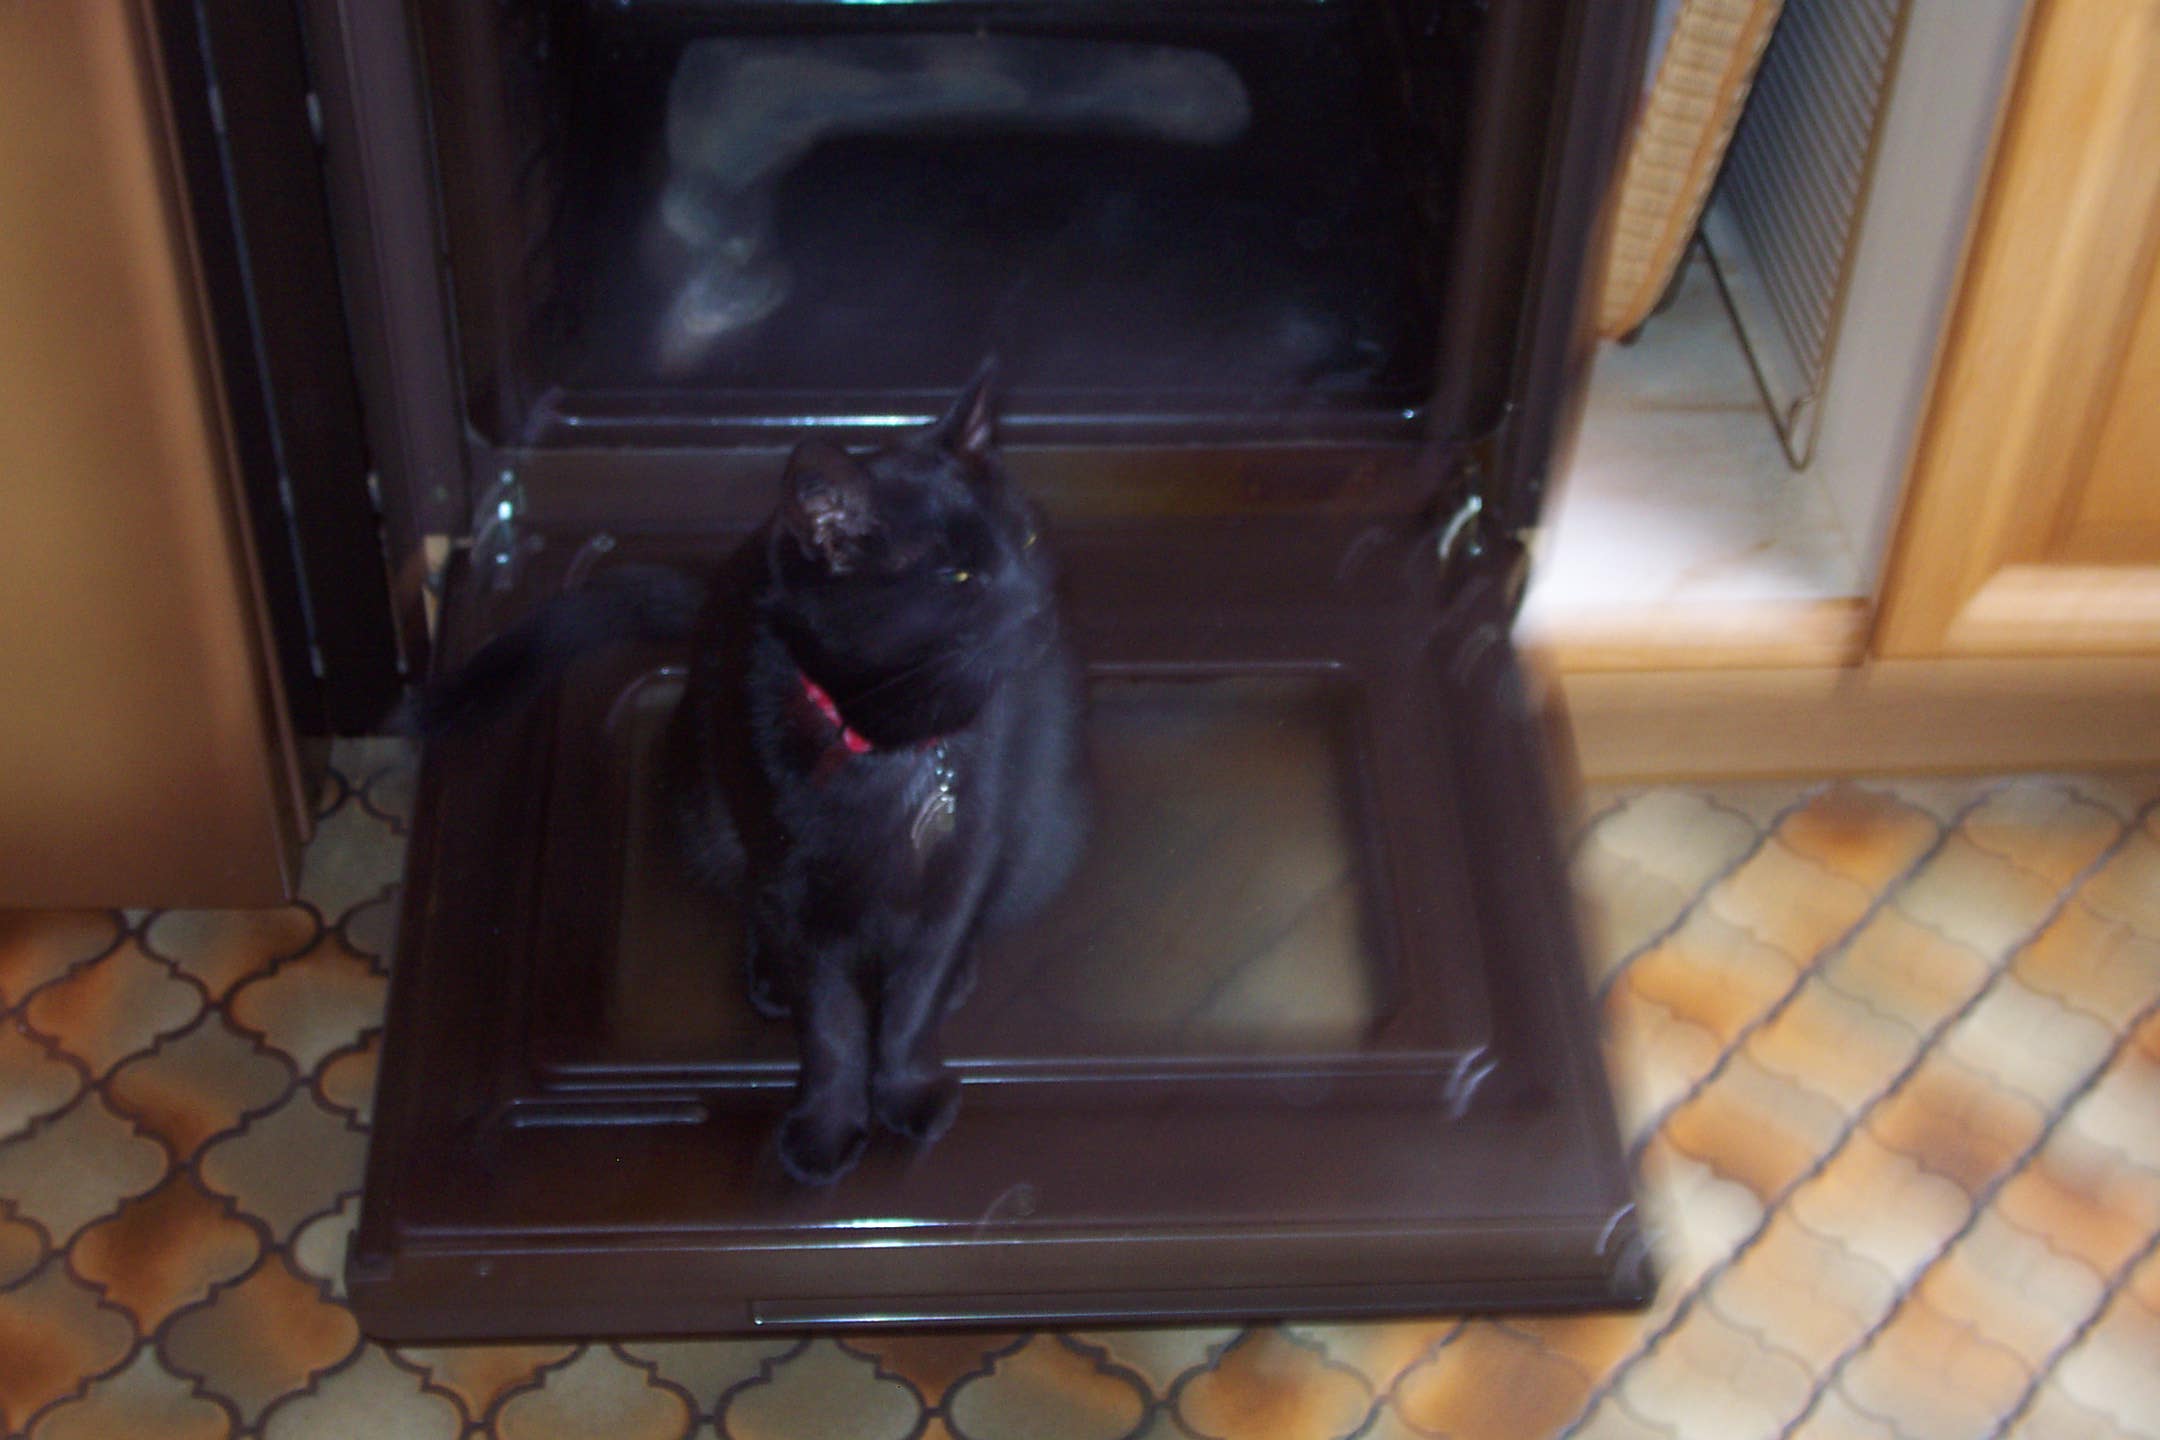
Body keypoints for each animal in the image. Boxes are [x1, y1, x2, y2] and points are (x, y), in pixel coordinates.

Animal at [420, 369, 1089, 1185]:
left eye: (1026, 538)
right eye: (958, 576)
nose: (1041, 607)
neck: (890, 744)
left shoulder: (964, 864)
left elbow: (912, 1001)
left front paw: (907, 1088)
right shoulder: (790, 876)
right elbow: (831, 1023)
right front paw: (827, 1127)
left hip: (1043, 837)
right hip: (706, 809)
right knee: (748, 901)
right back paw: (769, 974)